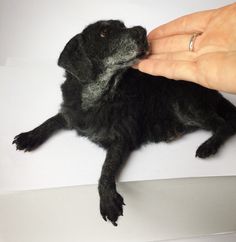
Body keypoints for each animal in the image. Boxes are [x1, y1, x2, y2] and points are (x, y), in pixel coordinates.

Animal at [12, 19, 236, 226]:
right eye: (103, 32)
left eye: (122, 25)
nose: (141, 30)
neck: (99, 97)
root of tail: (213, 90)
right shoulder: (71, 114)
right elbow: (50, 121)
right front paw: (29, 136)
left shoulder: (121, 138)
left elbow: (106, 169)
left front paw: (107, 199)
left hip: (185, 104)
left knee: (225, 124)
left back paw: (209, 145)